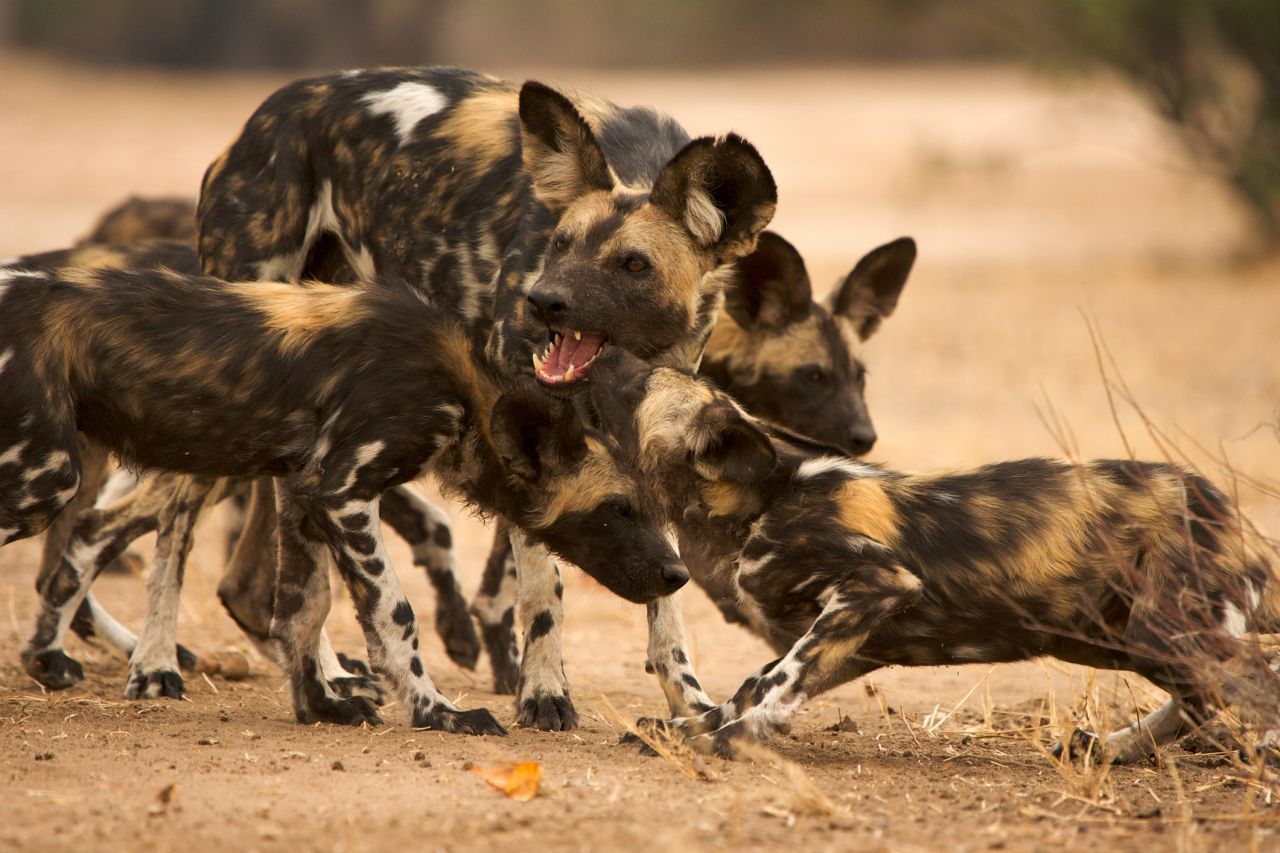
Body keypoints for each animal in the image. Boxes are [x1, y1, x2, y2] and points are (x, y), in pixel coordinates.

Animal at [0, 266, 686, 732]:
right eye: (617, 510)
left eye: (658, 510)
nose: (678, 575)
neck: (458, 388)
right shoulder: (343, 492)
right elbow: (395, 615)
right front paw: (438, 712)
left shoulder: (302, 489)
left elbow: (304, 609)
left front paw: (321, 704)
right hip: (47, 477)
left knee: (83, 540)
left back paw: (48, 657)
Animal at [586, 348, 1269, 758]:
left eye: (637, 384)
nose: (608, 350)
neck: (763, 497)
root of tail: (1234, 521)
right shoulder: (859, 636)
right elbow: (756, 681)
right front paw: (703, 726)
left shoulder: (876, 585)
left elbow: (780, 676)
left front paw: (735, 738)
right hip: (1126, 636)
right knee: (1200, 701)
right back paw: (1113, 749)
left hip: (1164, 632)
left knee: (1252, 688)